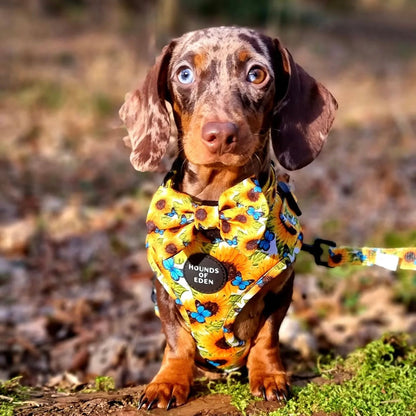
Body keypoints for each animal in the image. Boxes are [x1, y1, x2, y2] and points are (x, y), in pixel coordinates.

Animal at [118, 26, 336, 410]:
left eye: (257, 74)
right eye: (184, 73)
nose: (220, 134)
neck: (213, 207)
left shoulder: (281, 289)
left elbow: (267, 337)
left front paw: (268, 375)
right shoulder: (163, 293)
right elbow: (177, 343)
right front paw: (168, 381)